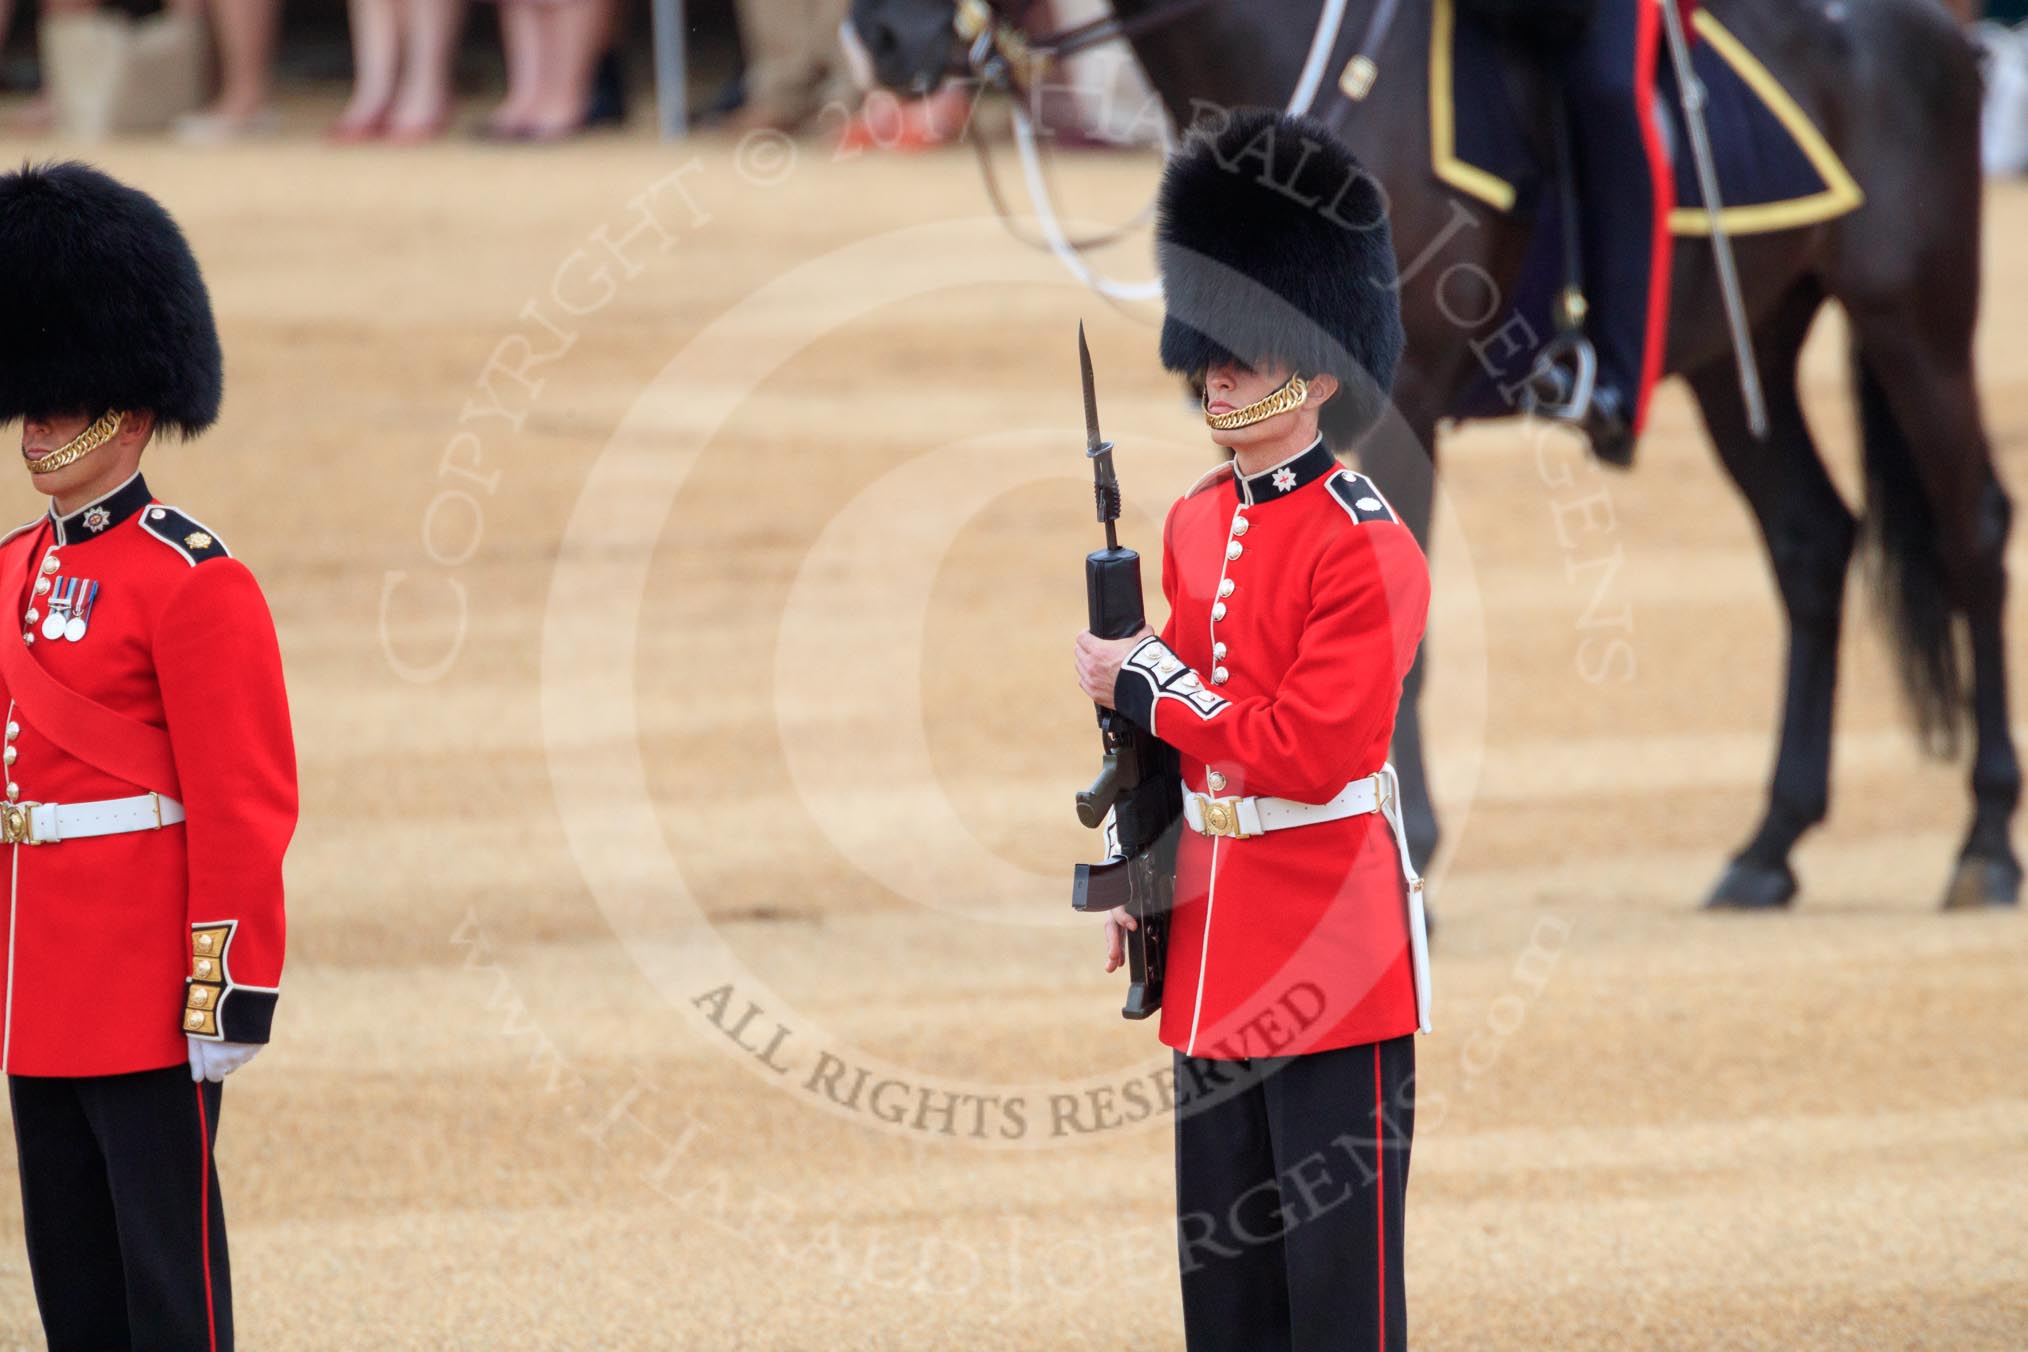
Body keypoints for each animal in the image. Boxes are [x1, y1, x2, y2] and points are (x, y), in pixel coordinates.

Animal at [851, 0, 2011, 916]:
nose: (879, 38)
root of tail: (1936, 31)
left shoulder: (1400, 400)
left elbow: (1399, 635)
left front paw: (1409, 846)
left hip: (1913, 320)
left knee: (1972, 532)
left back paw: (1986, 840)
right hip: (1741, 350)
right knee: (1812, 541)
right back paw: (1770, 846)